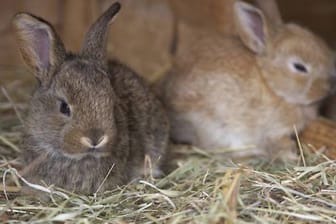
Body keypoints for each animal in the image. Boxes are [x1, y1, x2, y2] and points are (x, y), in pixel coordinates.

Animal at [158, 0, 336, 159]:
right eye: (299, 67)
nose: (329, 86)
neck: (272, 86)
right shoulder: (273, 130)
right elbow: (278, 143)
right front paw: (291, 155)